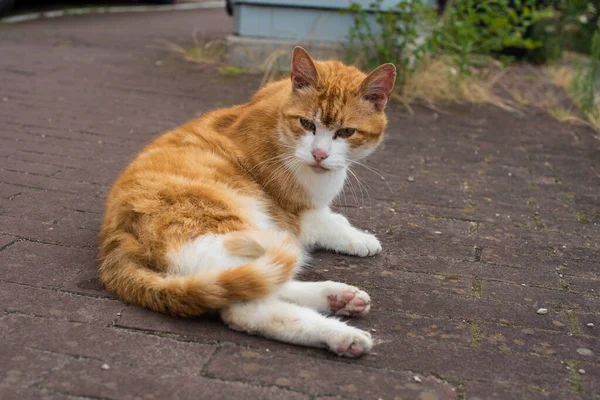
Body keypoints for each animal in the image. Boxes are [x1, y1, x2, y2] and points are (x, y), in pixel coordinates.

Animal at [101, 47, 396, 356]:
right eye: (306, 124)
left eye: (346, 132)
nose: (319, 154)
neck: (279, 126)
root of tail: (117, 241)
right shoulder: (298, 212)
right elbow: (330, 222)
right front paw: (360, 239)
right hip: (235, 233)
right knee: (248, 307)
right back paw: (342, 334)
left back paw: (338, 298)